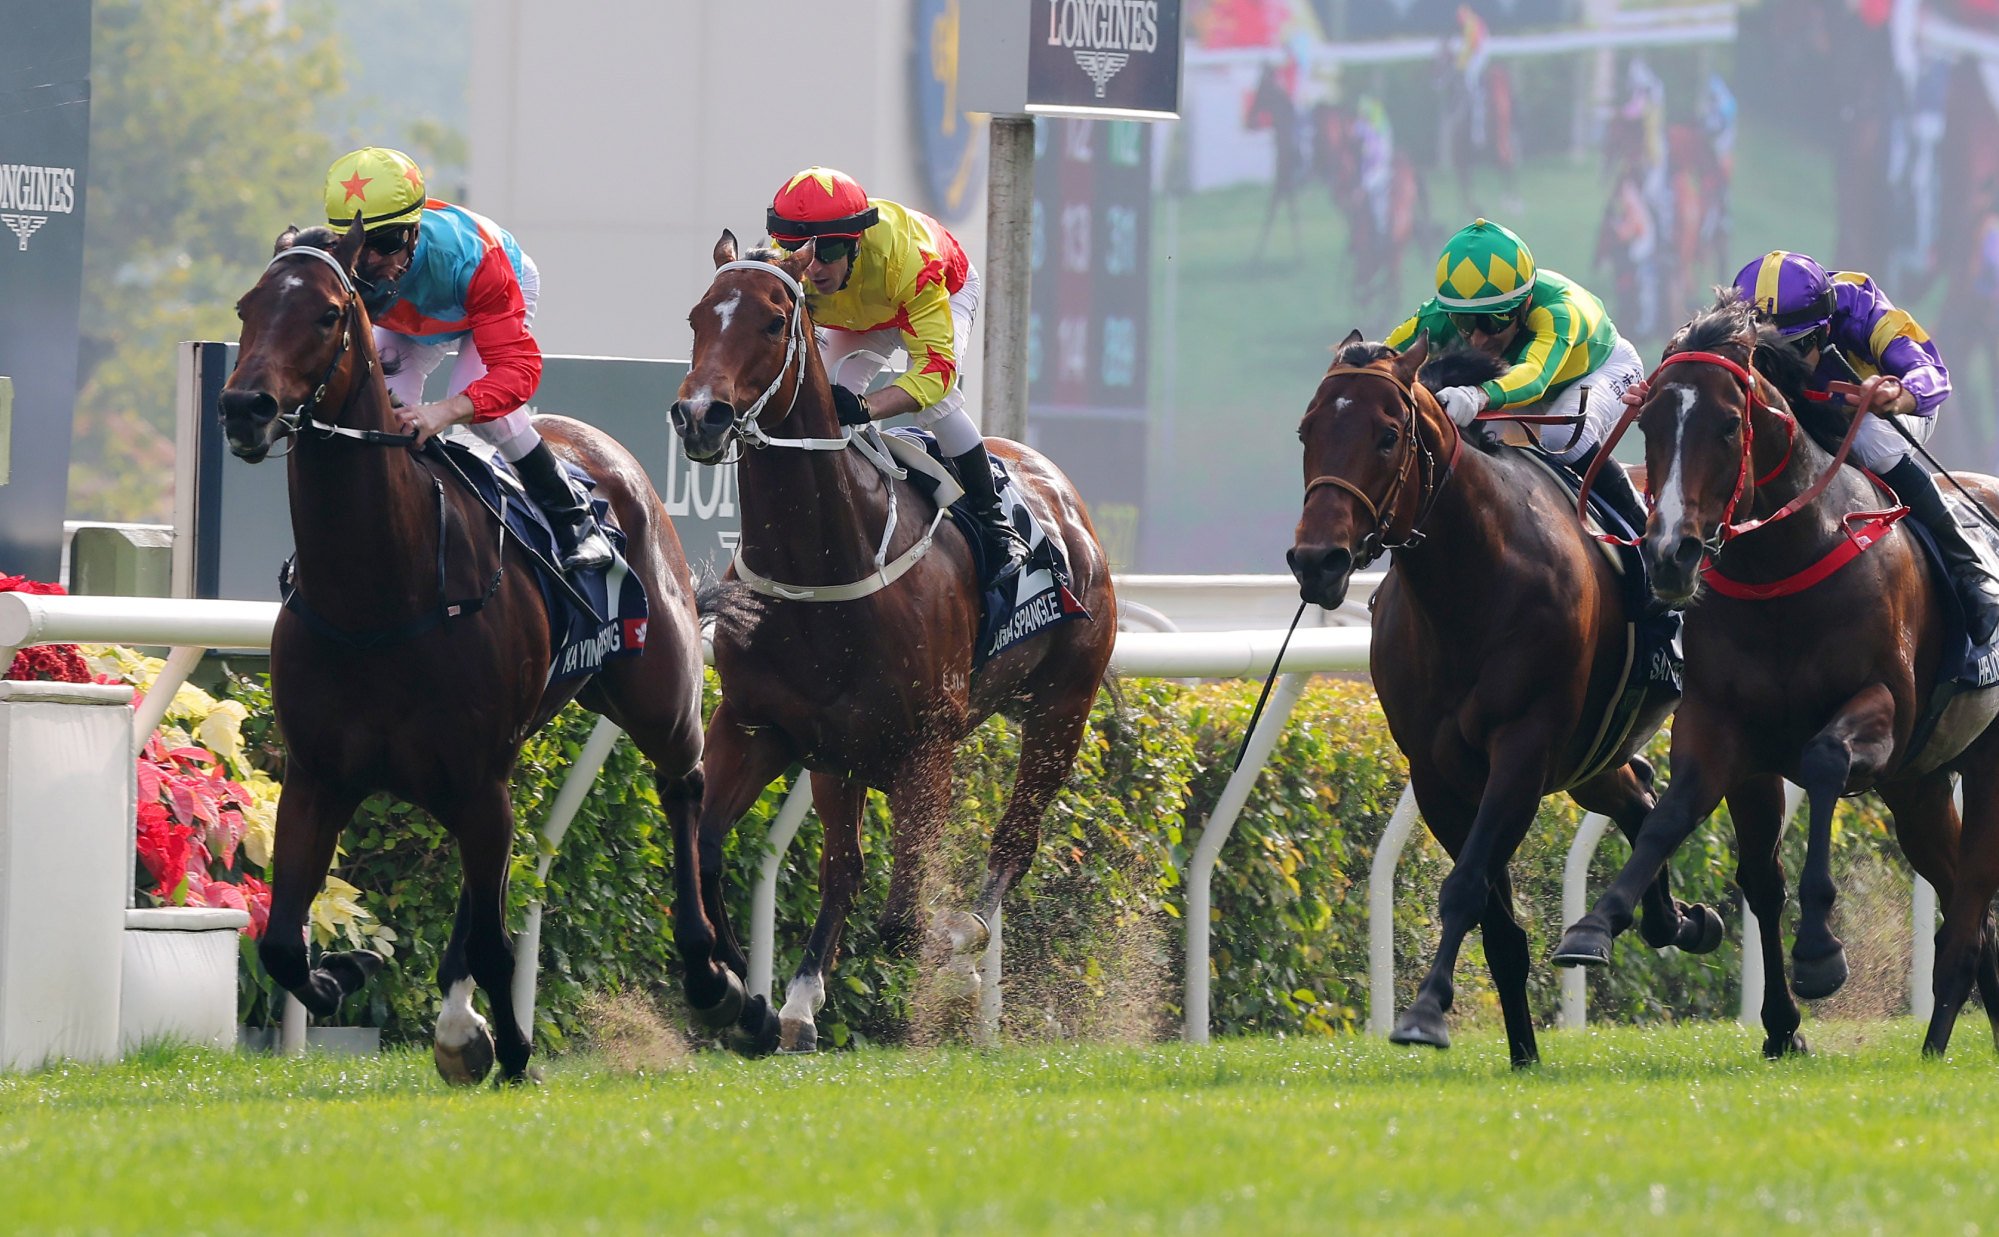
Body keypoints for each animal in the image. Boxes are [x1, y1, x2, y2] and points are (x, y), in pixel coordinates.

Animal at [220, 219, 719, 1087]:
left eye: (325, 314)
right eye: (248, 306)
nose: (245, 406)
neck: (379, 595)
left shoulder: (478, 778)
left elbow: (494, 940)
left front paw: (515, 1049)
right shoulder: (319, 777)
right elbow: (283, 943)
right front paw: (346, 972)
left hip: (655, 693)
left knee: (682, 782)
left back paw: (711, 973)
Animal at [667, 231, 1111, 1055]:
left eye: (773, 321)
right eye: (697, 316)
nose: (699, 416)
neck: (823, 560)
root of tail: (1056, 486)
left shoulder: (925, 747)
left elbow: (904, 922)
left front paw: (950, 956)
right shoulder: (763, 724)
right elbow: (713, 852)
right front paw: (746, 994)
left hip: (1061, 709)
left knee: (1014, 841)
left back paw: (968, 937)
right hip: (839, 753)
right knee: (844, 866)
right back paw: (800, 1000)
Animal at [1287, 333, 1727, 1071]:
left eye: (1386, 435)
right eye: (1306, 429)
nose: (1316, 561)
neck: (1472, 583)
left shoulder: (1523, 749)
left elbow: (1466, 886)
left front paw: (1424, 1015)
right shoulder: (1437, 773)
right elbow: (1497, 927)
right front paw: (1520, 1049)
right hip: (1589, 756)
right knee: (1637, 793)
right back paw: (1678, 920)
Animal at [1551, 297, 1999, 1055]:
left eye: (1729, 423)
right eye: (1646, 425)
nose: (1668, 554)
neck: (1784, 564)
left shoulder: (1885, 706)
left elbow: (1821, 761)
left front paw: (1818, 951)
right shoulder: (1723, 729)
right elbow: (1682, 821)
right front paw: (1599, 923)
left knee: (1970, 908)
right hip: (1920, 783)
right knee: (1962, 901)